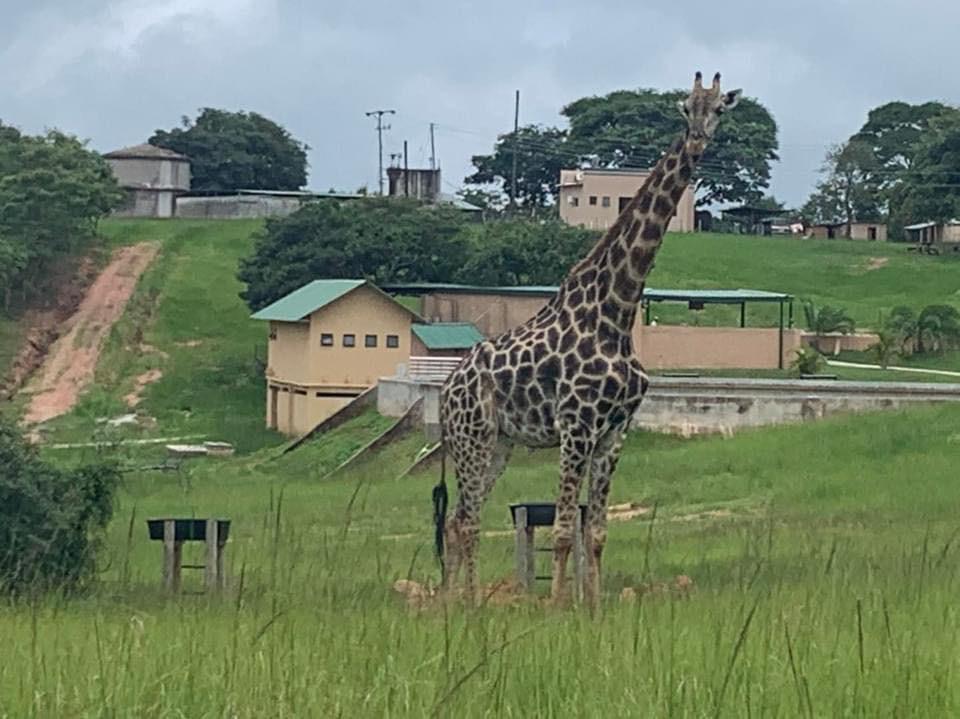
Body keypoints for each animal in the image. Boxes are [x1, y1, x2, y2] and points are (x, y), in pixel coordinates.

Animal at [433, 72, 741, 605]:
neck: (617, 312)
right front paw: (558, 608)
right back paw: (467, 606)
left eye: (720, 107)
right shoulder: (576, 427)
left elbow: (595, 533)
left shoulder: (615, 431)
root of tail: (446, 389)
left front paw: (593, 609)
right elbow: (560, 531)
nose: (699, 139)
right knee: (467, 522)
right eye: (685, 106)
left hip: (498, 444)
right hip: (472, 437)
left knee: (456, 521)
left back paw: (456, 604)